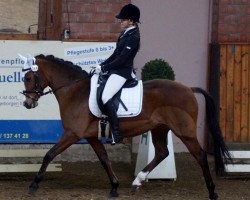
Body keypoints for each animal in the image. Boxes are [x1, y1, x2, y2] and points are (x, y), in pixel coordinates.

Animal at [20, 54, 231, 199]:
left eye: (29, 78)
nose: (27, 104)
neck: (75, 91)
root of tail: (188, 89)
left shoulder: (72, 133)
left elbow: (49, 154)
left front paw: (34, 184)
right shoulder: (91, 136)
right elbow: (104, 159)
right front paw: (114, 186)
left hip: (185, 131)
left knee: (200, 155)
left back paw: (212, 191)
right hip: (159, 128)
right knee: (162, 152)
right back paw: (137, 181)